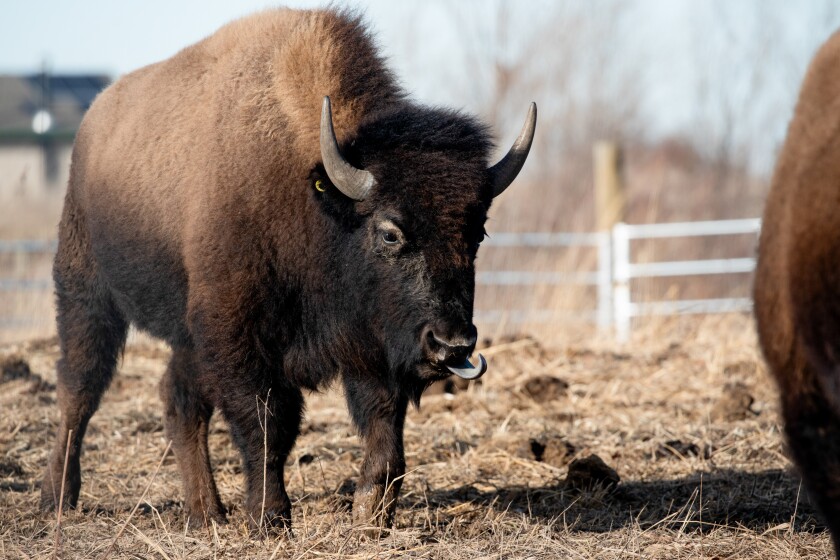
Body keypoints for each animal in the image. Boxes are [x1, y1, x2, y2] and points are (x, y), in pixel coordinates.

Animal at [38, 8, 536, 532]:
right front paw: (270, 517)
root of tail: (95, 120)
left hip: (184, 332)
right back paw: (58, 498)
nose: (452, 345)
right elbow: (267, 424)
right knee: (79, 389)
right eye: (389, 232)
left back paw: (207, 513)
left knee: (179, 401)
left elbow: (384, 432)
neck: (316, 198)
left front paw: (371, 515)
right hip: (85, 292)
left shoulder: (370, 347)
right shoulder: (237, 335)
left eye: (477, 233)